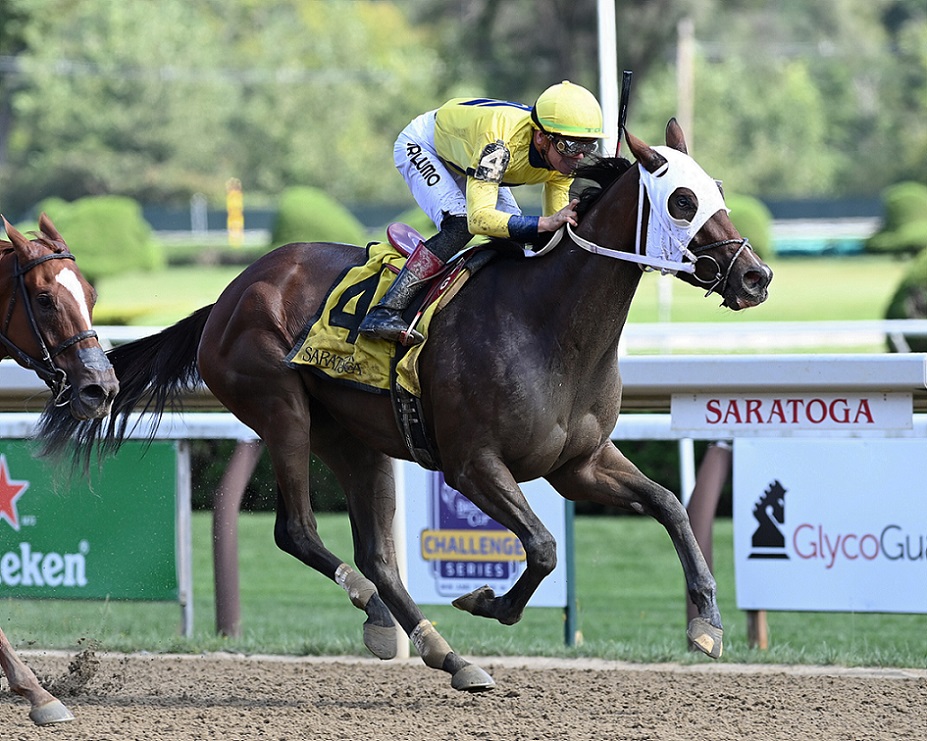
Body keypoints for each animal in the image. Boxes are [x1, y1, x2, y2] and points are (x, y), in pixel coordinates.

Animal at [37, 120, 772, 692]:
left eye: (718, 190)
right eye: (681, 200)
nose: (756, 276)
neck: (549, 326)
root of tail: (228, 294)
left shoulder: (578, 463)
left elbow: (669, 505)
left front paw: (705, 623)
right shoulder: (473, 464)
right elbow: (541, 546)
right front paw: (487, 600)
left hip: (355, 440)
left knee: (378, 554)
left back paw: (437, 649)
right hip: (282, 410)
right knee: (299, 531)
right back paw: (388, 616)